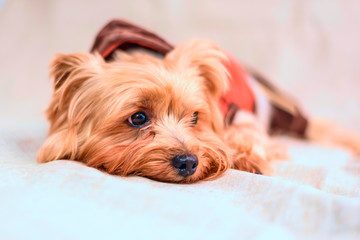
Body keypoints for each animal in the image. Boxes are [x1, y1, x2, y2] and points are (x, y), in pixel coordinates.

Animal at [37, 19, 360, 183]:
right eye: (138, 118)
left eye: (194, 117)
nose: (188, 162)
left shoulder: (241, 115)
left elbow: (246, 135)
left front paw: (247, 158)